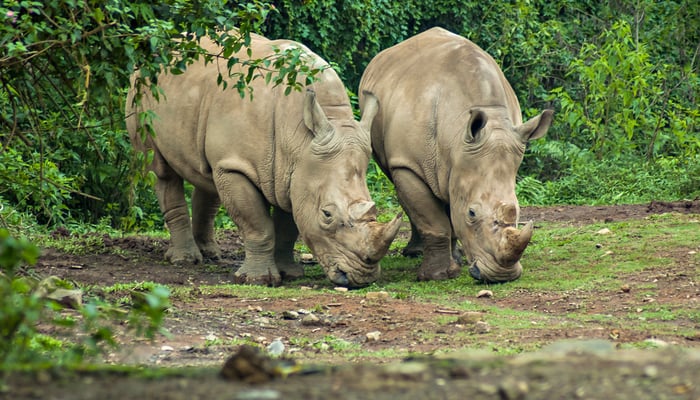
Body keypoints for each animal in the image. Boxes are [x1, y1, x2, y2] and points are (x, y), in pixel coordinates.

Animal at [126, 32, 402, 287]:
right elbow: (258, 224)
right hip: (141, 91)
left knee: (208, 175)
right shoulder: (240, 166)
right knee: (161, 171)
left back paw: (211, 254)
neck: (301, 138)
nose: (361, 278)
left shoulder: (294, 172)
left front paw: (290, 273)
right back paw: (185, 260)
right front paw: (258, 279)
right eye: (327, 215)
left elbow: (288, 226)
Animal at [359, 27, 553, 283]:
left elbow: (450, 211)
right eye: (472, 213)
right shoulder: (408, 163)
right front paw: (438, 276)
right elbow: (433, 219)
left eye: (518, 210)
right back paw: (416, 253)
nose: (501, 276)